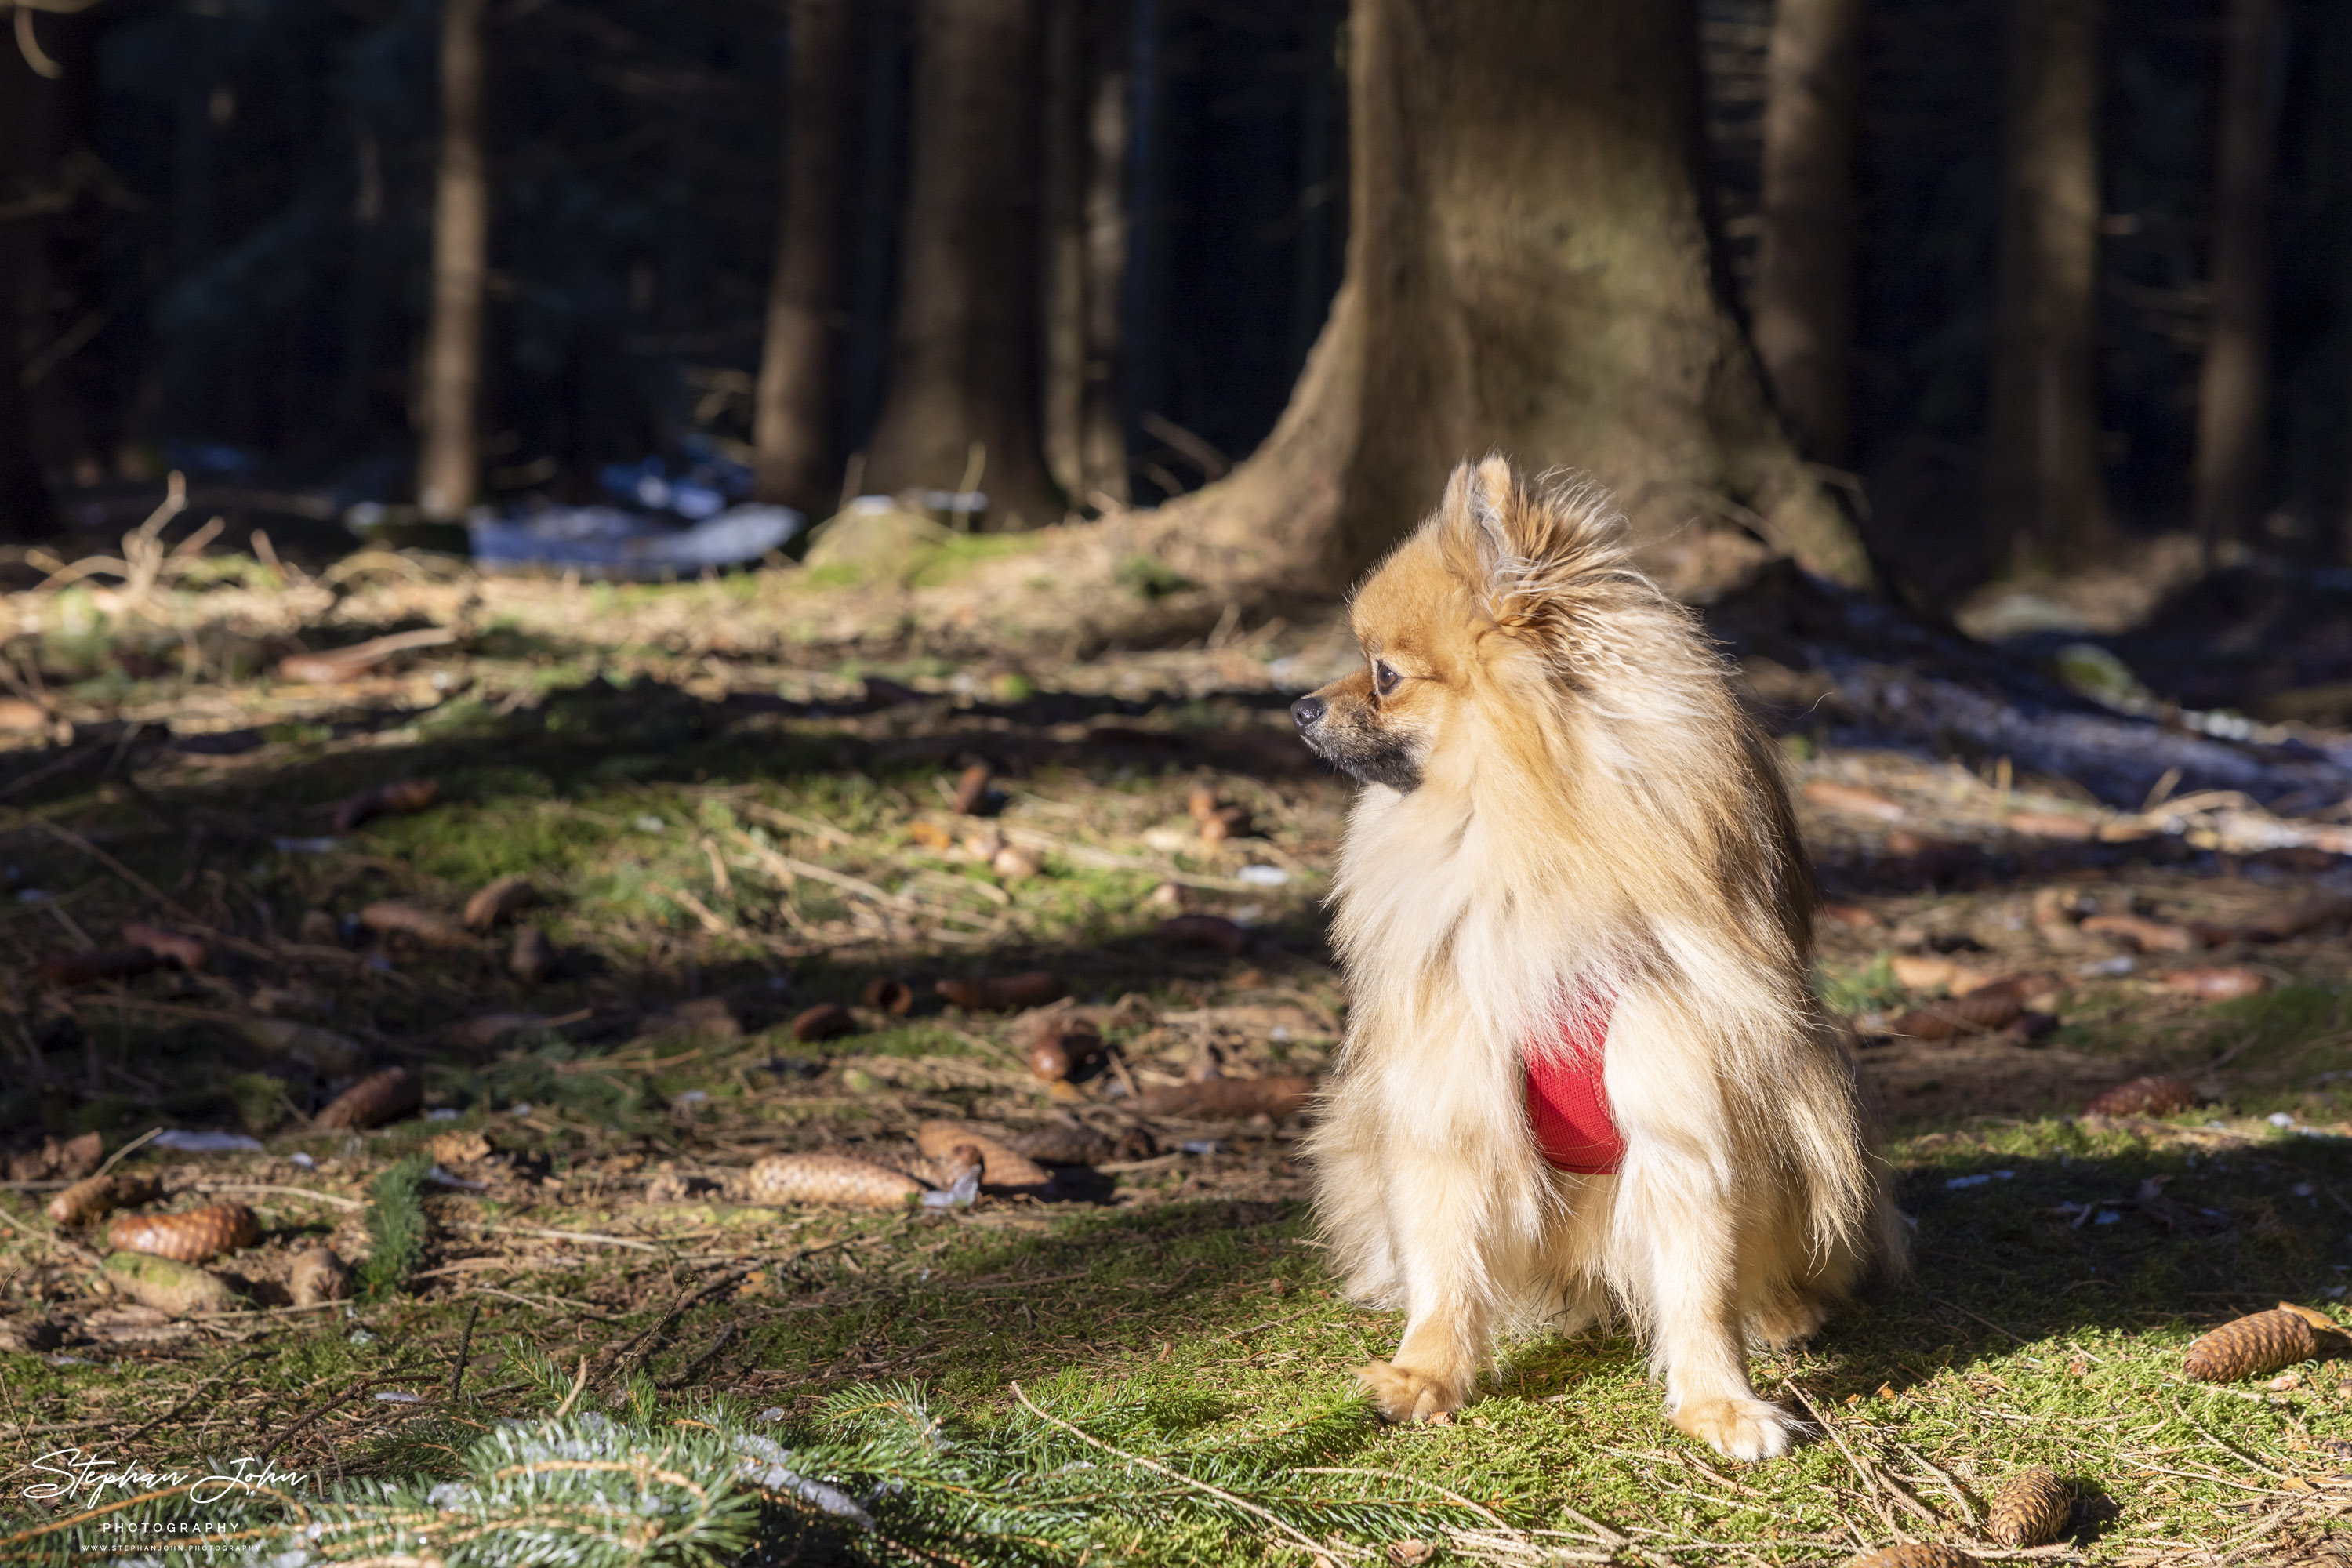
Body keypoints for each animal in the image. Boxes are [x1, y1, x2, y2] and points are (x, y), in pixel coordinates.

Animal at [1298, 460, 1900, 1467]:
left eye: (1385, 674)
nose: (1299, 703)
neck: (1510, 837)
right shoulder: (1452, 1086)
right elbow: (1444, 1252)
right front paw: (1425, 1372)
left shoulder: (1681, 1089)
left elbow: (1702, 1277)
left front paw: (1719, 1400)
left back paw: (1785, 1310)